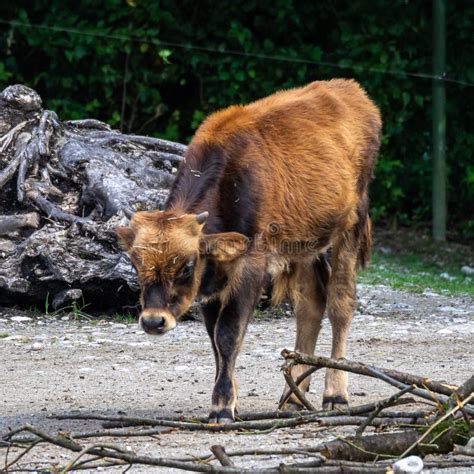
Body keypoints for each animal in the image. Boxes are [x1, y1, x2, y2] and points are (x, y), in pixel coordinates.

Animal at [117, 79, 382, 424]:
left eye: (187, 266)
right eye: (136, 264)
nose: (153, 321)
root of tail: (354, 93)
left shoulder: (250, 265)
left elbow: (228, 333)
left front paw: (221, 407)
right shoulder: (216, 282)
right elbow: (215, 339)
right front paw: (230, 401)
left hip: (348, 231)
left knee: (340, 304)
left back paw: (335, 395)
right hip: (304, 247)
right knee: (310, 305)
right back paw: (293, 397)